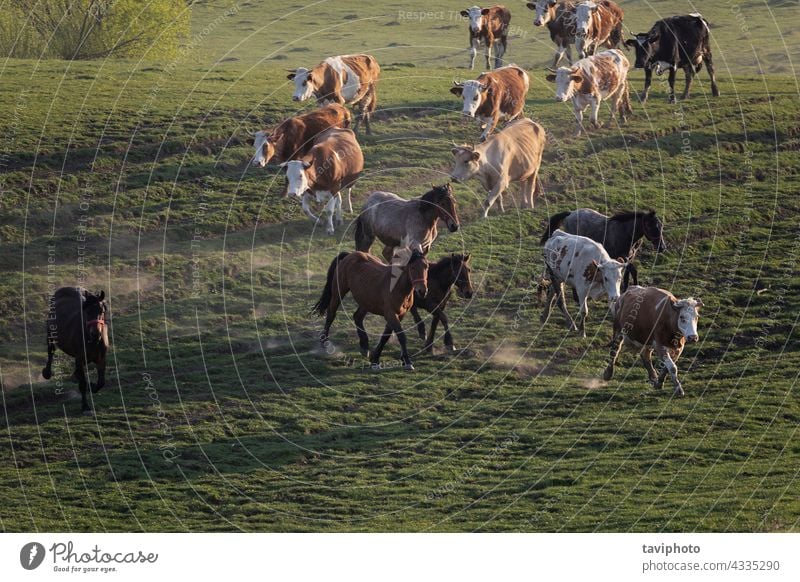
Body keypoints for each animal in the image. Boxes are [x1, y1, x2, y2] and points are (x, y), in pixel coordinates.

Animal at [42, 288, 108, 416]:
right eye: (87, 311)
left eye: (102, 311)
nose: (95, 334)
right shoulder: (80, 358)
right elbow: (82, 384)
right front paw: (86, 407)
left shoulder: (101, 359)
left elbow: (101, 382)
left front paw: (92, 386)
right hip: (51, 335)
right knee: (50, 351)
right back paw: (47, 373)